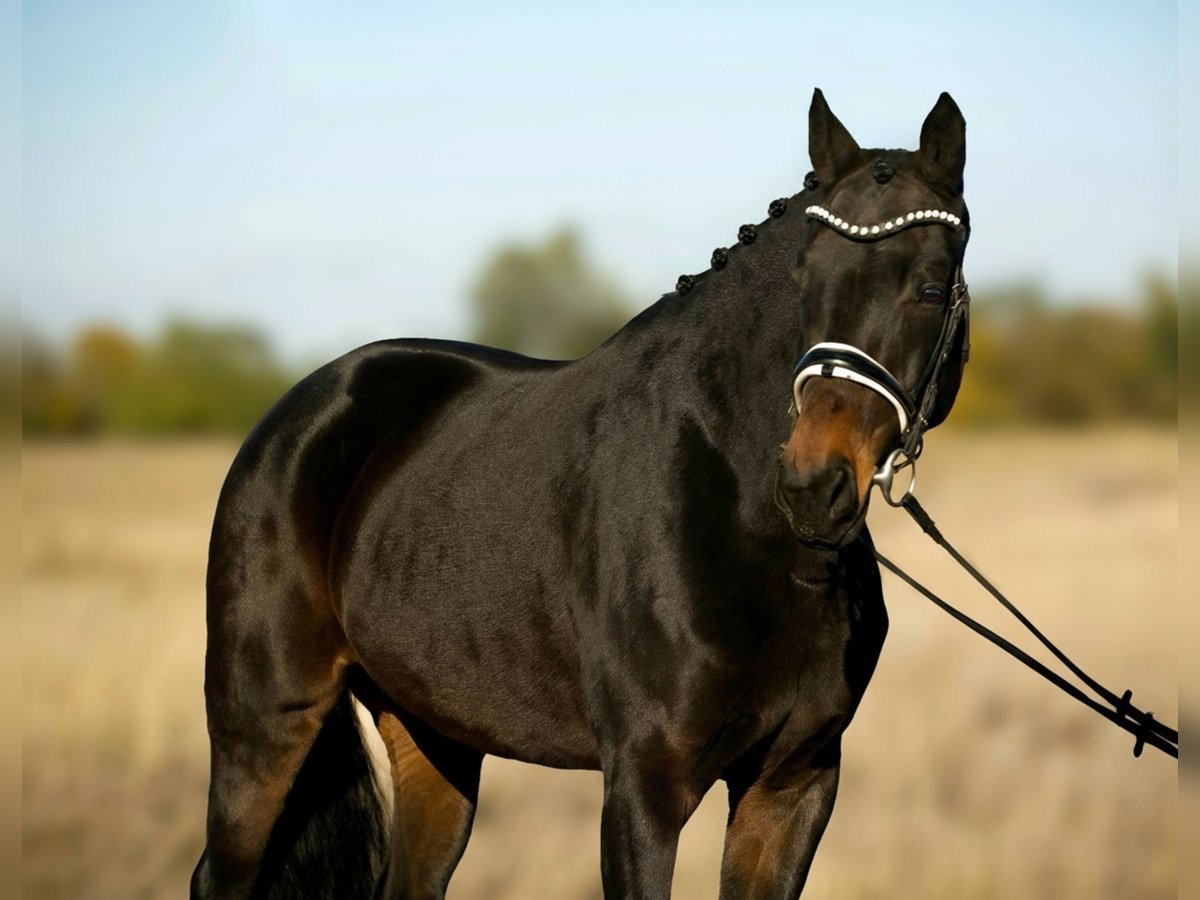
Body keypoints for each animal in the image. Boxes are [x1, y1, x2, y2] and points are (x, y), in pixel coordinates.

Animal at [191, 88, 971, 900]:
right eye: (803, 282)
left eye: (930, 288)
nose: (813, 486)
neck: (743, 519)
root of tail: (299, 411)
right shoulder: (643, 787)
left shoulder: (792, 784)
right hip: (262, 725)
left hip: (434, 737)